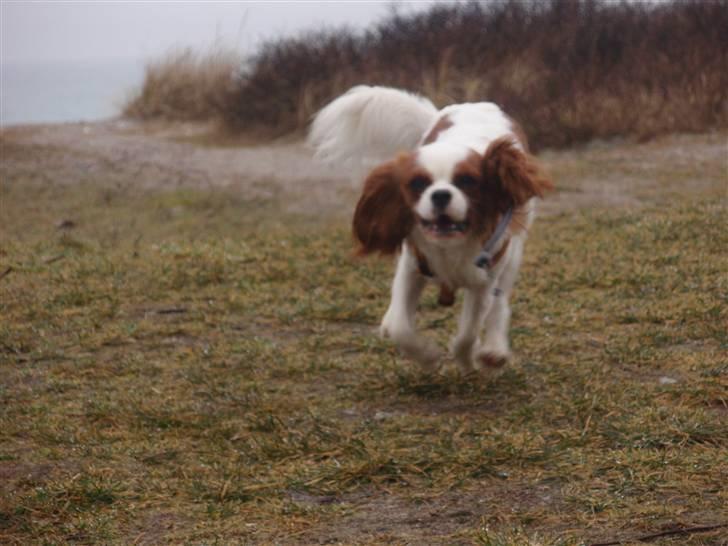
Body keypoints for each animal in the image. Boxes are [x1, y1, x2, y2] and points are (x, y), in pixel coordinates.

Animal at [308, 86, 552, 374]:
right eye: (418, 183)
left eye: (467, 181)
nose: (440, 195)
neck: (451, 244)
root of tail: (473, 104)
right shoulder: (412, 266)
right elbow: (402, 327)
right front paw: (427, 356)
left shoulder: (484, 279)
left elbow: (469, 331)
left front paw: (466, 361)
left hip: (512, 256)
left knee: (499, 304)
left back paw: (494, 351)